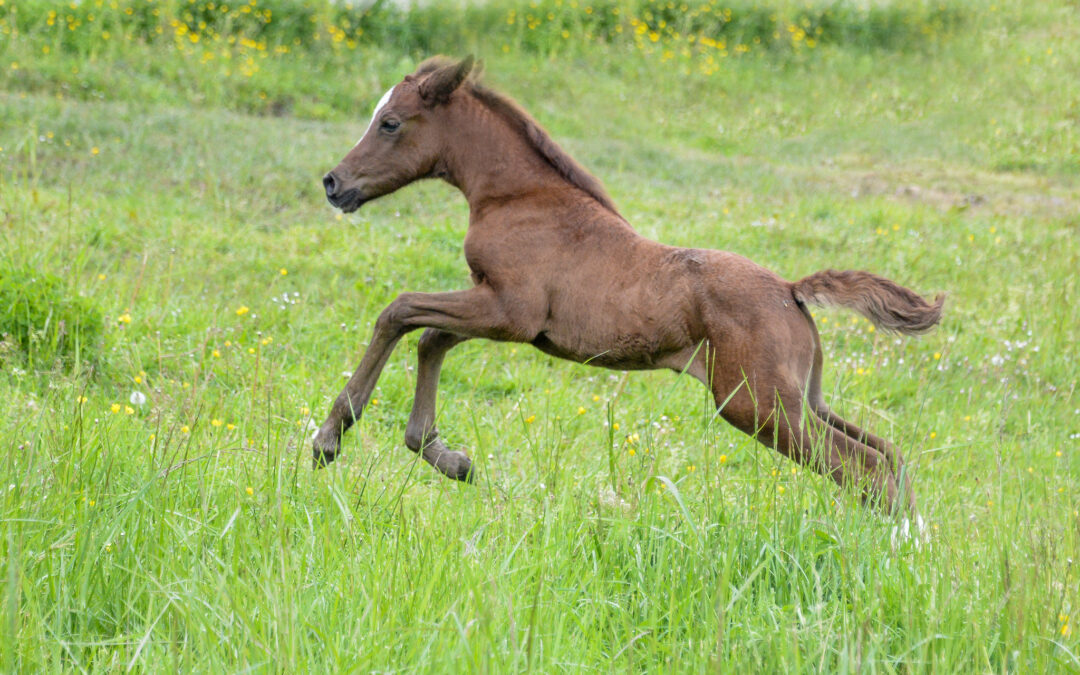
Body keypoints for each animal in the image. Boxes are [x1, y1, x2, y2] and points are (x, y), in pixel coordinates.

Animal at [315, 57, 946, 518]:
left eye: (390, 122)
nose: (333, 183)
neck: (519, 198)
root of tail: (791, 290)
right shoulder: (493, 309)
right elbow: (430, 339)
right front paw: (447, 456)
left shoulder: (510, 314)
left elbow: (399, 312)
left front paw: (330, 437)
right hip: (803, 399)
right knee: (888, 456)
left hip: (757, 406)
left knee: (863, 468)